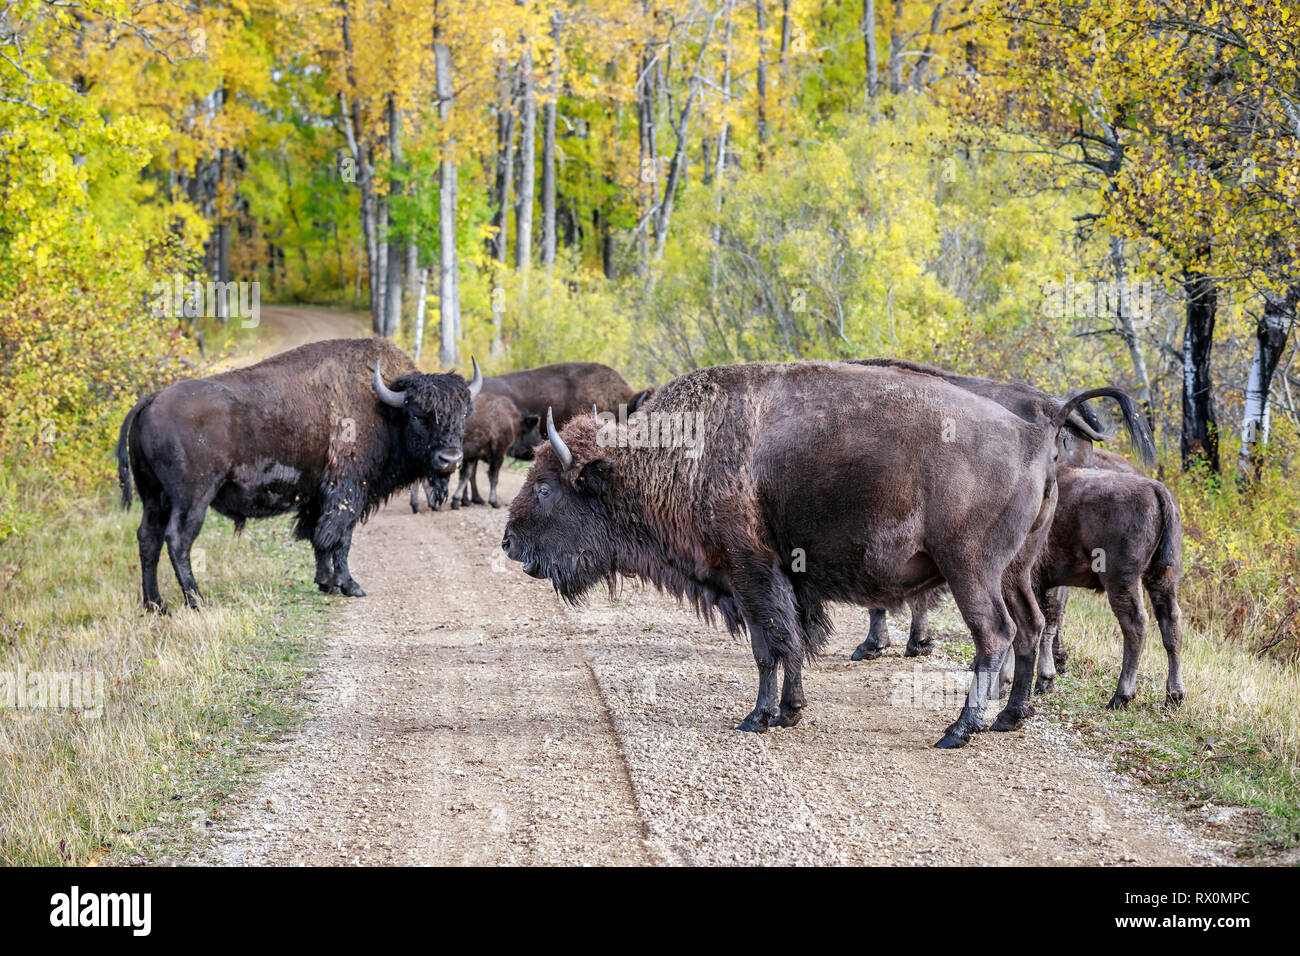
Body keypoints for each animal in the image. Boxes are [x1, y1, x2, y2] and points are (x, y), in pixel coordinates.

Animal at [116, 335, 480, 608]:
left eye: (464, 414)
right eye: (418, 414)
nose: (449, 459)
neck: (383, 407)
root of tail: (152, 399)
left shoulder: (318, 497)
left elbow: (318, 538)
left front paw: (326, 583)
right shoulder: (348, 491)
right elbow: (340, 538)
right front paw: (351, 586)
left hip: (154, 498)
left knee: (148, 539)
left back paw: (155, 605)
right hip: (192, 499)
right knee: (178, 541)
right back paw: (196, 601)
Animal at [410, 395, 543, 515]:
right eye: (536, 431)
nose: (540, 446)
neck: (511, 420)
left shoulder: (471, 457)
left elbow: (467, 476)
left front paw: (459, 502)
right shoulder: (498, 453)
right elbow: (493, 477)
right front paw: (494, 502)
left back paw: (430, 506)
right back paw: (419, 506)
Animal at [501, 358, 1154, 749]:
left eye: (545, 487)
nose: (507, 543)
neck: (675, 457)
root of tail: (1036, 431)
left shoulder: (750, 573)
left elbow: (771, 644)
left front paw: (760, 717)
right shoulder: (774, 581)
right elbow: (788, 643)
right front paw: (789, 711)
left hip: (972, 570)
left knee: (996, 635)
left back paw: (959, 730)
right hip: (1017, 570)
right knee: (1032, 625)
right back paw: (1010, 718)